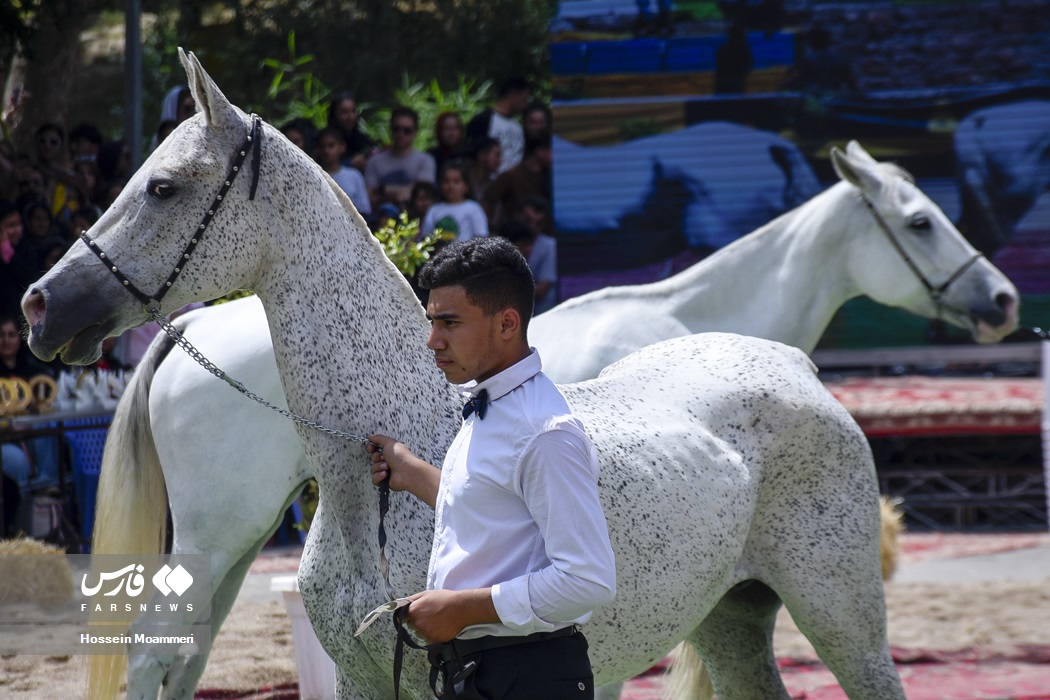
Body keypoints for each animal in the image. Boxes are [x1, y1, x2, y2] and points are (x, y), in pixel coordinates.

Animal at [20, 51, 907, 696]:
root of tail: (793, 367)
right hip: (730, 619)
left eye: (163, 187)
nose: (40, 304)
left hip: (843, 616)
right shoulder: (364, 682)